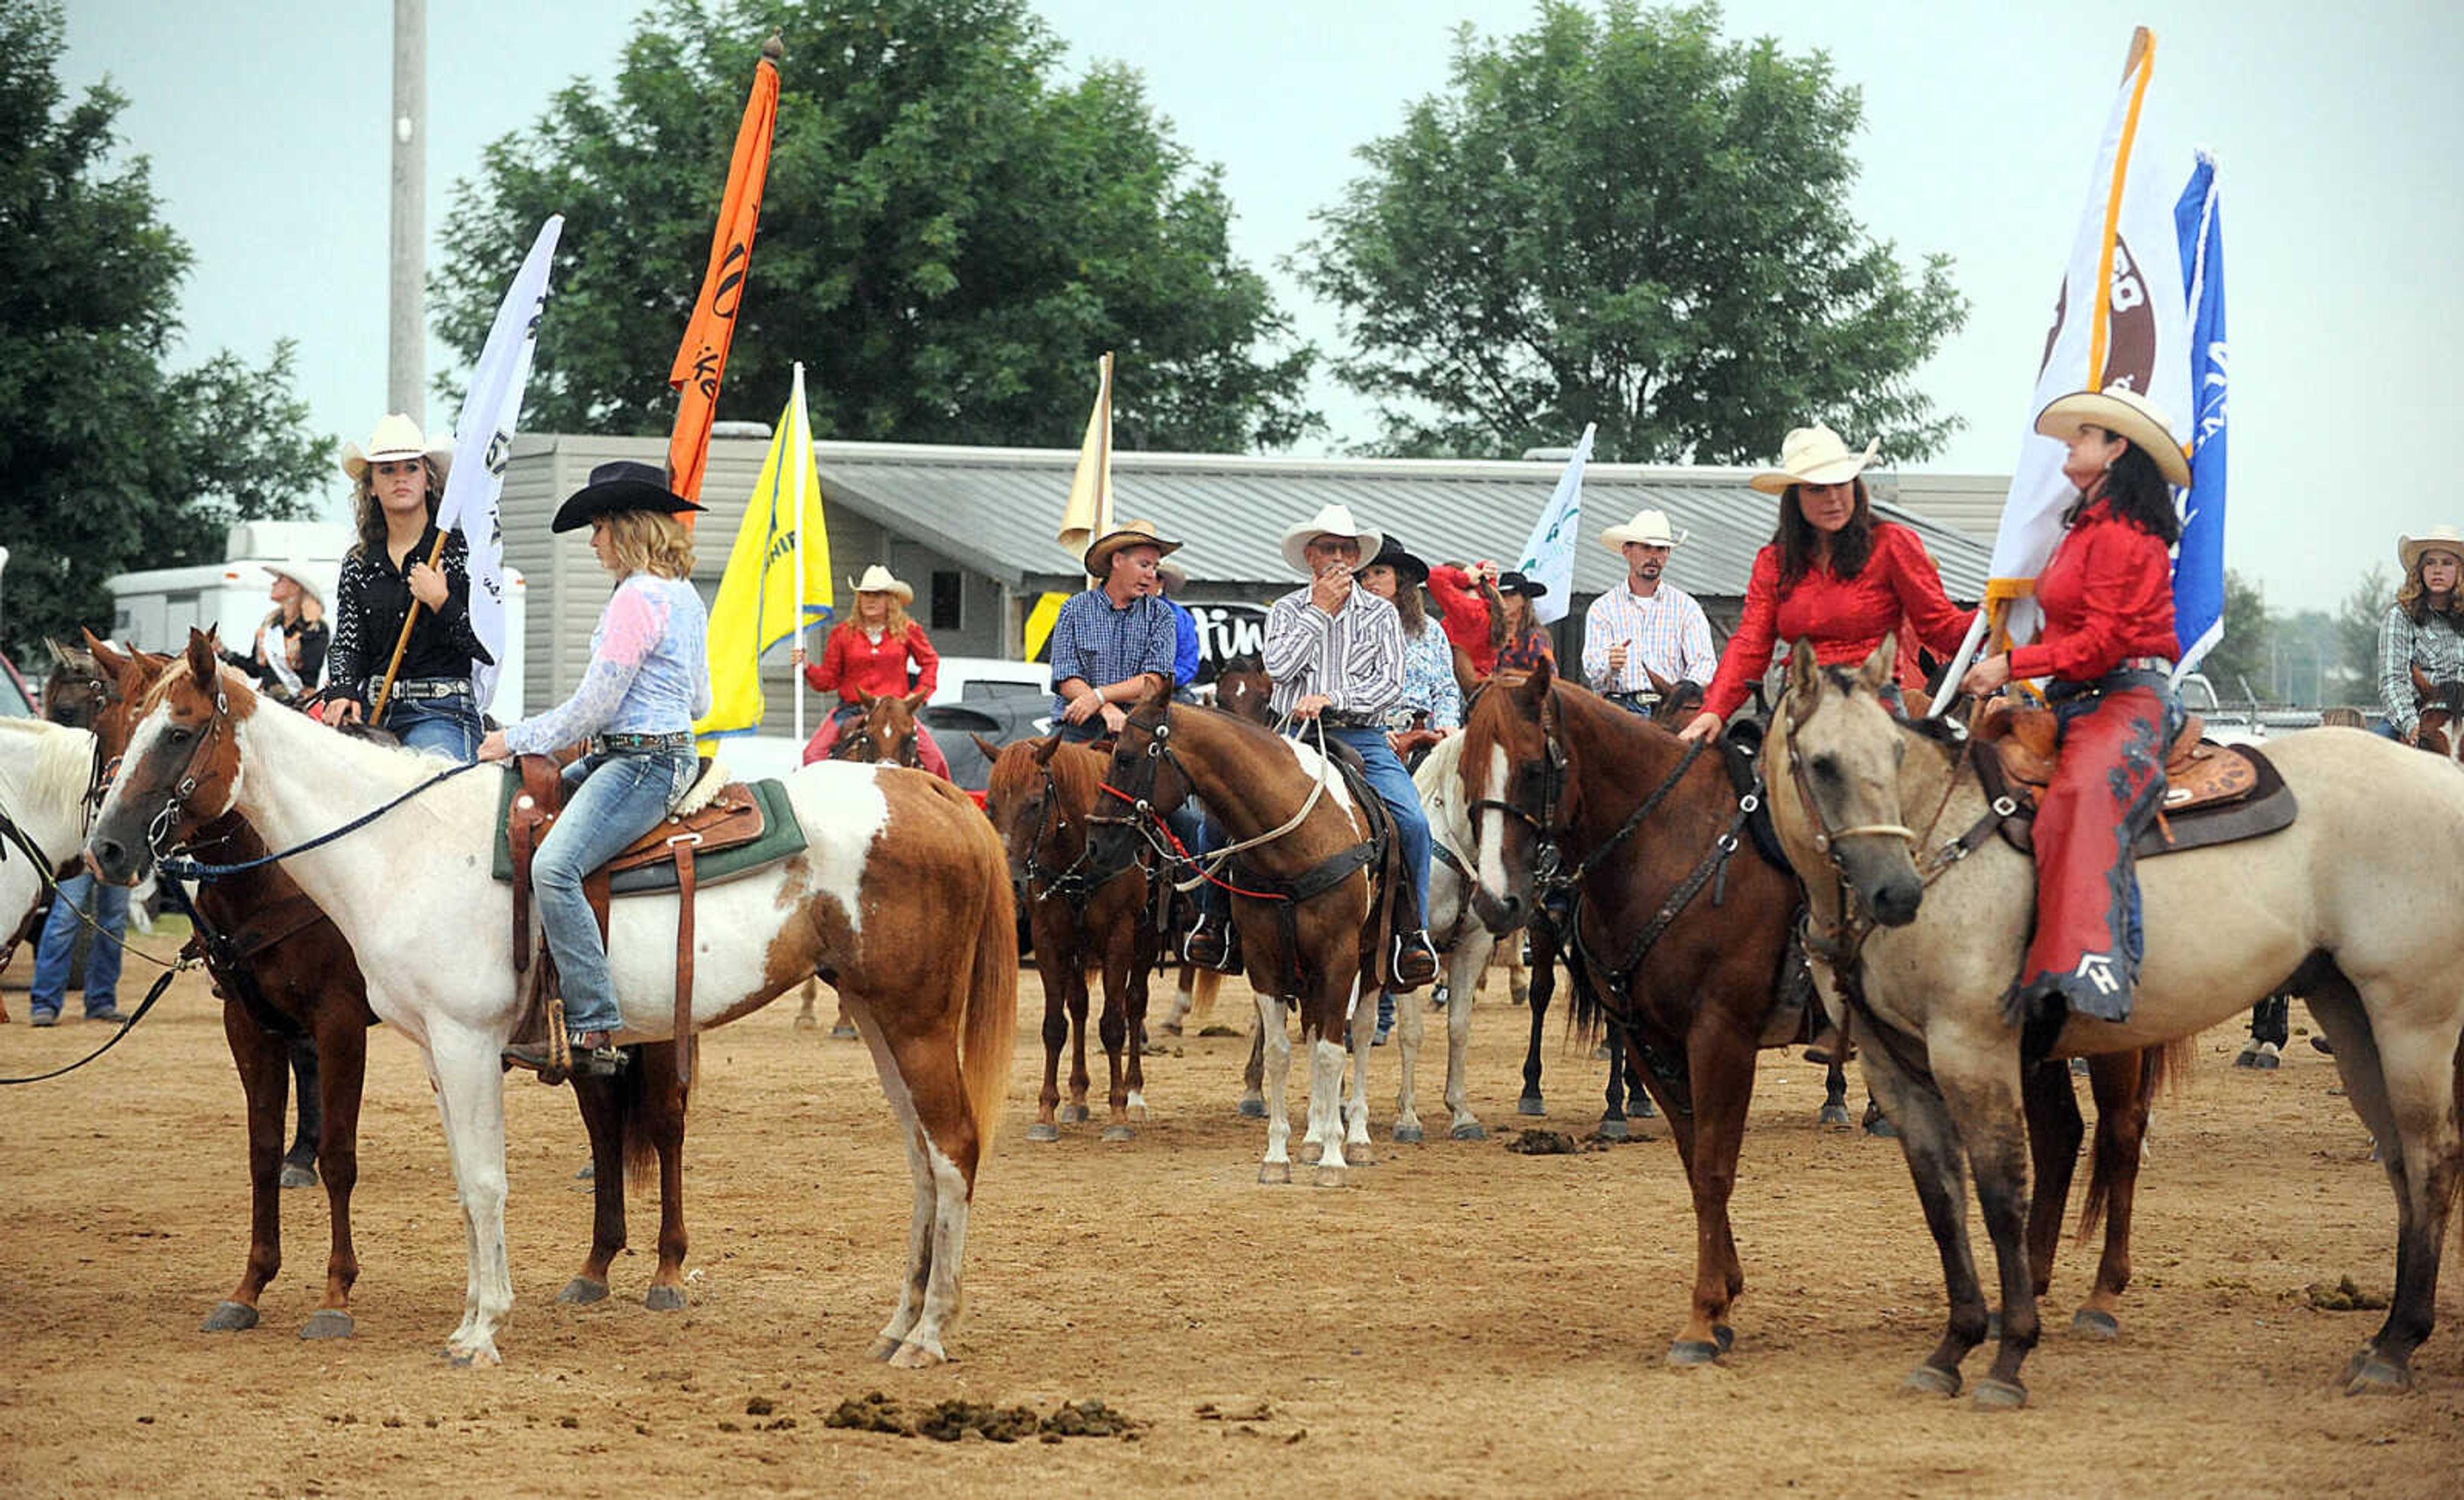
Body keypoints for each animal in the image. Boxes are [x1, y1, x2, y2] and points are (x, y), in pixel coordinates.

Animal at [87, 630, 1010, 1369]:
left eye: (176, 732)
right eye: (112, 730)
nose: (107, 848)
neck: (399, 842)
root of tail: (926, 791)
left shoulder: (448, 1038)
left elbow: (482, 1180)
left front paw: (478, 1330)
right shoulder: (429, 1047)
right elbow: (467, 1181)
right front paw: (471, 1315)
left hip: (917, 1022)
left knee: (954, 1150)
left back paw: (929, 1335)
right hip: (880, 1018)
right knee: (921, 1159)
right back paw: (896, 1325)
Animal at [980, 734, 1163, 1132]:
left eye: (1035, 803)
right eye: (990, 804)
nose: (1010, 881)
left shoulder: (1120, 936)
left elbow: (1113, 1024)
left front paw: (1118, 1111)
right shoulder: (1049, 938)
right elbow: (1055, 1025)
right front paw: (1046, 1111)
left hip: (1145, 941)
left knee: (1135, 1003)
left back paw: (1136, 1095)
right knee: (1078, 1005)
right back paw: (1078, 1097)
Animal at [1093, 689, 1389, 1182]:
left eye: (1126, 757)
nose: (1096, 842)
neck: (1296, 841)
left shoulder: (1339, 956)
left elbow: (1334, 1051)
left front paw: (1334, 1159)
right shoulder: (1265, 959)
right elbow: (1280, 1052)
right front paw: (1278, 1157)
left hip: (1371, 960)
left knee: (1362, 1034)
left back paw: (1358, 1138)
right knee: (1313, 1032)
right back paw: (1313, 1137)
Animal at [1764, 640, 2464, 1399]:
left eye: (1895, 751)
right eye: (1823, 763)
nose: (1898, 892)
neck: (1944, 835)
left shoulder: (1973, 1049)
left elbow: (2001, 1190)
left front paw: (2010, 1355)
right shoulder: (1893, 1067)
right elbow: (1942, 1203)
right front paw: (1951, 1349)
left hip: (2414, 1019)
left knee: (2433, 1156)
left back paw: (2396, 1346)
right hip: (2350, 1012)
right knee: (2398, 1158)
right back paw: (2381, 1342)